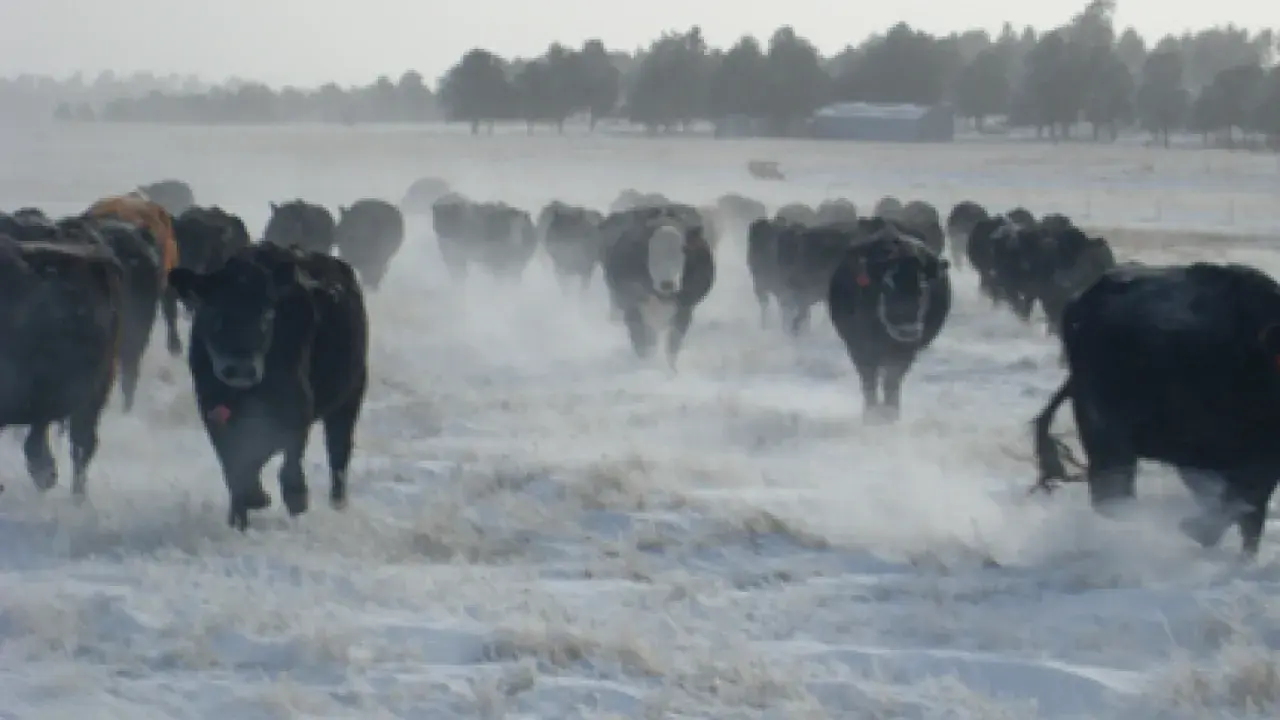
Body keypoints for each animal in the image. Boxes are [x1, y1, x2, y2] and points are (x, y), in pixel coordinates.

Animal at [168, 243, 369, 531]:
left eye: (266, 313)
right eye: (214, 312)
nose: (241, 368)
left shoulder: (296, 405)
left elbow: (273, 453)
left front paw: (291, 497)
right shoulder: (212, 409)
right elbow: (233, 463)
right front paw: (243, 512)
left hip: (350, 396)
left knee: (338, 450)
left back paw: (336, 503)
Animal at [601, 209, 715, 368]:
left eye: (683, 250)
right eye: (651, 250)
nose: (667, 283)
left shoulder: (684, 309)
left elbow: (672, 346)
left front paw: (671, 371)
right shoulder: (633, 309)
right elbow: (644, 345)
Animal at [827, 220, 952, 422]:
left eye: (923, 286)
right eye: (887, 285)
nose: (907, 331)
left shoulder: (906, 352)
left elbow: (892, 381)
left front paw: (890, 414)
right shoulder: (859, 349)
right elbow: (869, 381)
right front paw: (872, 415)